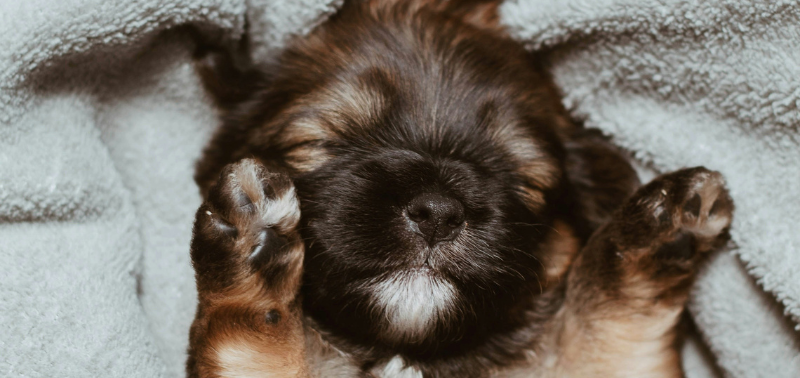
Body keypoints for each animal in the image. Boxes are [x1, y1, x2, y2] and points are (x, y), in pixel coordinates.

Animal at [184, 1, 736, 376]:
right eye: (324, 142)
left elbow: (608, 329)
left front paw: (655, 232)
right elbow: (245, 338)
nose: (437, 211)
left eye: (523, 177)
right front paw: (250, 244)